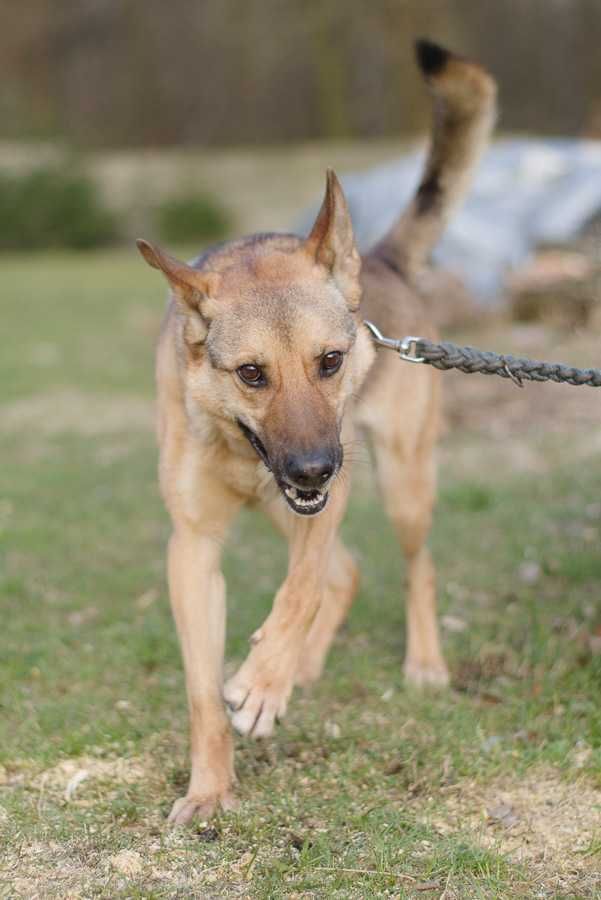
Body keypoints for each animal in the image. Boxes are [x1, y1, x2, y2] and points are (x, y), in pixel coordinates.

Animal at [137, 44, 496, 828]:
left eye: (329, 361)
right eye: (251, 374)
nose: (310, 469)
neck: (242, 450)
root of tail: (379, 263)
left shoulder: (329, 497)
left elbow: (298, 589)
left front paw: (263, 682)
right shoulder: (193, 549)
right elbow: (203, 692)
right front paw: (210, 788)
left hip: (398, 482)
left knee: (410, 567)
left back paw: (417, 663)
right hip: (295, 507)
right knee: (348, 572)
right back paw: (301, 667)